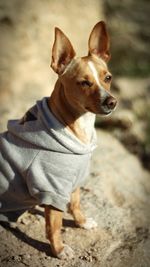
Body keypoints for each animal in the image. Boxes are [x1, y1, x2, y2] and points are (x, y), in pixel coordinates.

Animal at [0, 21, 117, 260]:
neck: (78, 129)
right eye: (84, 83)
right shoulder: (51, 189)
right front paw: (59, 250)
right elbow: (54, 225)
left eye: (108, 78)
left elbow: (76, 205)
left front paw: (82, 223)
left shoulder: (74, 181)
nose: (112, 102)